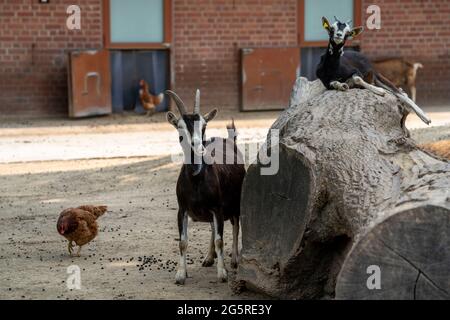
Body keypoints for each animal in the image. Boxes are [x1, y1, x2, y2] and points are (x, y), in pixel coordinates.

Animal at [165, 89, 246, 284]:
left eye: (203, 126)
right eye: (180, 127)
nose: (197, 145)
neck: (196, 180)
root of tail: (229, 139)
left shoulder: (218, 208)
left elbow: (220, 240)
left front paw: (222, 273)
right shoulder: (182, 209)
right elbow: (183, 242)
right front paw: (181, 274)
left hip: (235, 204)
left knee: (235, 226)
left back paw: (234, 260)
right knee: (212, 227)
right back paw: (209, 257)